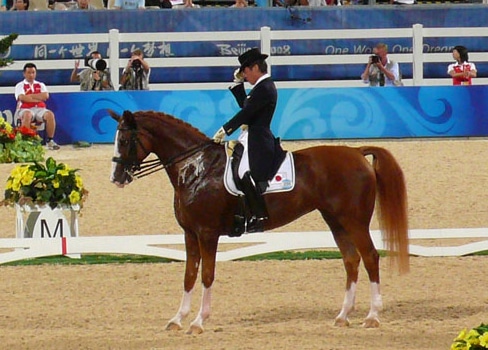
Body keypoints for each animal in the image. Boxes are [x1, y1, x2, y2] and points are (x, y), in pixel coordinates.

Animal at [109, 109, 408, 334]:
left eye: (124, 140)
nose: (116, 178)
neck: (196, 168)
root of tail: (357, 151)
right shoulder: (189, 233)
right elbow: (189, 275)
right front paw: (177, 319)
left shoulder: (207, 233)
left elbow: (207, 274)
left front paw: (198, 322)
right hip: (336, 221)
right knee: (351, 260)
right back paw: (343, 316)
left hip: (355, 221)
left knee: (370, 257)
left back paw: (372, 317)